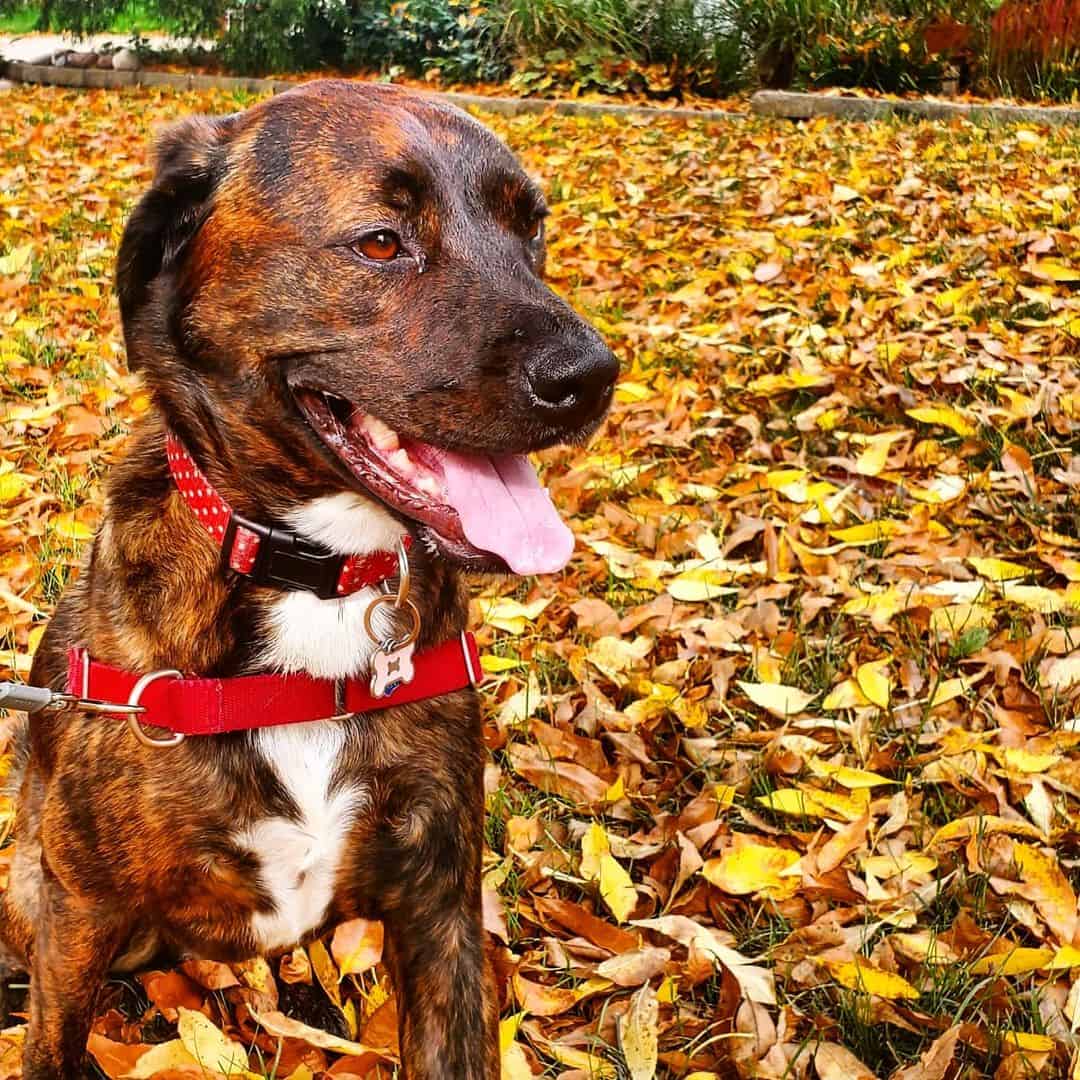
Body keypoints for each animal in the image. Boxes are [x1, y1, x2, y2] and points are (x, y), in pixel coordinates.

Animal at [4, 82, 617, 1080]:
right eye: (379, 242)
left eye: (532, 229)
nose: (594, 377)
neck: (319, 575)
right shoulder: (81, 913)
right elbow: (50, 1043)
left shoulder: (440, 908)